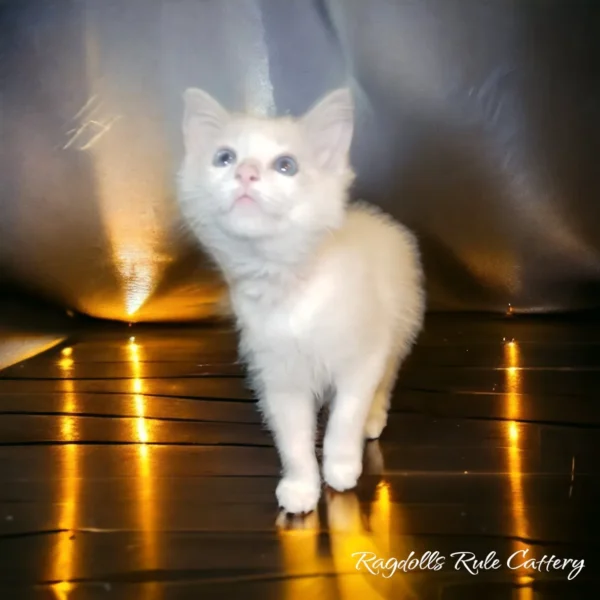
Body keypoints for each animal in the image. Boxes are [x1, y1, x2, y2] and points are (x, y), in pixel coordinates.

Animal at [176, 86, 424, 512]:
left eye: (286, 166)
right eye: (224, 158)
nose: (245, 173)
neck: (287, 285)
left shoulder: (363, 357)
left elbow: (345, 417)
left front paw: (342, 468)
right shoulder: (279, 376)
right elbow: (292, 440)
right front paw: (301, 487)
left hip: (400, 326)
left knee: (385, 381)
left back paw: (374, 419)